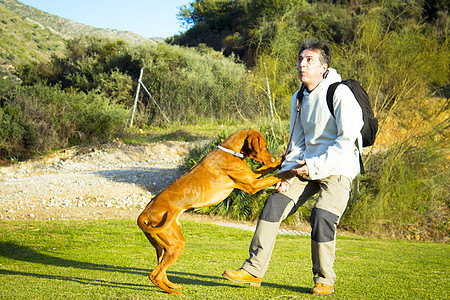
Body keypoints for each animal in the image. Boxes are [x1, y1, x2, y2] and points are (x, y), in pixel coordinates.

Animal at [137, 127, 292, 294]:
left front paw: (281, 159)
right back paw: (172, 291)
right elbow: (275, 176)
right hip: (175, 244)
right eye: (264, 147)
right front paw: (292, 171)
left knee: (161, 271)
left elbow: (267, 169)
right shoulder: (252, 184)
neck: (231, 152)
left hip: (163, 247)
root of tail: (144, 213)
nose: (271, 157)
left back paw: (172, 286)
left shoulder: (252, 176)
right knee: (155, 274)